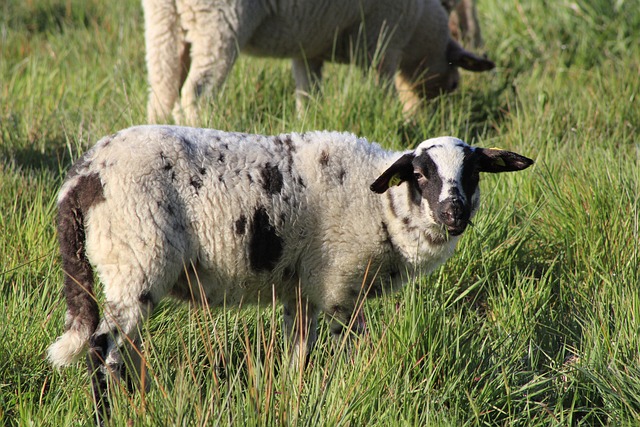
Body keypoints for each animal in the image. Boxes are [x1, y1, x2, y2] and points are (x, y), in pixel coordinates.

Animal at [46, 125, 536, 422]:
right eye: (419, 173)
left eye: (473, 173)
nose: (455, 213)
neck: (383, 209)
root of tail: (83, 177)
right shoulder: (340, 287)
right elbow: (351, 353)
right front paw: (354, 391)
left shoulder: (302, 293)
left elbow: (297, 356)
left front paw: (295, 398)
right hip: (136, 259)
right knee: (101, 348)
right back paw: (109, 416)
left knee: (116, 350)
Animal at [144, 0, 496, 123]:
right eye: (451, 85)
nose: (425, 120)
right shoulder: (380, 38)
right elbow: (380, 87)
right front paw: (395, 119)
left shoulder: (308, 48)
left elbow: (308, 93)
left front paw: (305, 124)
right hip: (218, 22)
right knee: (197, 93)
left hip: (164, 22)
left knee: (162, 91)